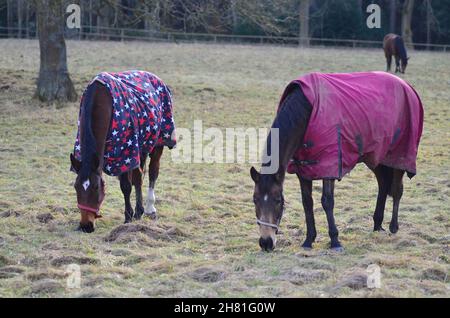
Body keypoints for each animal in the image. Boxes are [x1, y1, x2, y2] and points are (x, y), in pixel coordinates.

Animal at [70, 71, 176, 232]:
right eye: (76, 187)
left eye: (95, 187)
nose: (85, 226)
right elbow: (133, 180)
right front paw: (134, 213)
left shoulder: (125, 153)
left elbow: (125, 186)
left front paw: (128, 217)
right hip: (141, 148)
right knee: (139, 176)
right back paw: (140, 211)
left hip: (158, 143)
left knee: (153, 172)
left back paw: (150, 208)